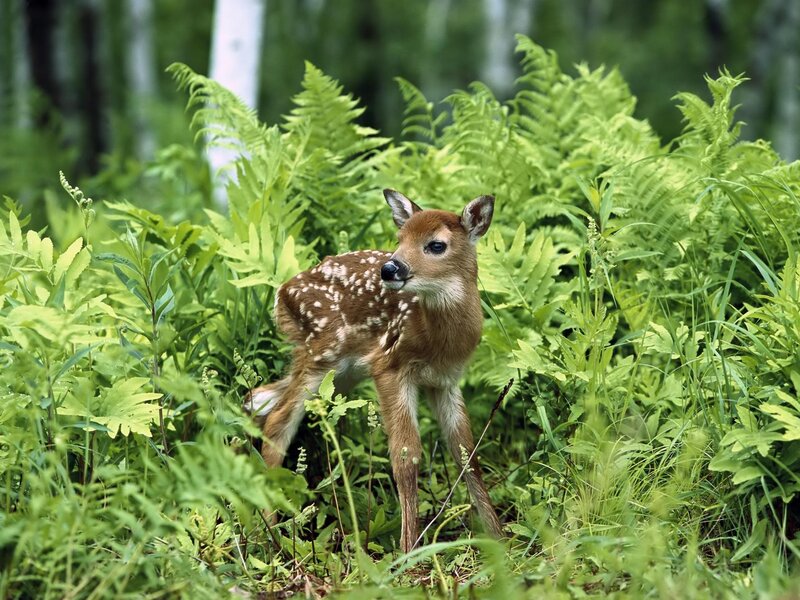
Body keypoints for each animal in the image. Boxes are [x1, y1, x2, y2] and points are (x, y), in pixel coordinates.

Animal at [244, 189, 503, 553]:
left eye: (436, 245)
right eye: (399, 238)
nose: (391, 268)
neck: (436, 341)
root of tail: (281, 294)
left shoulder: (446, 381)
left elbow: (467, 454)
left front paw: (500, 538)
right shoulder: (390, 366)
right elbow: (406, 456)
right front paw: (409, 550)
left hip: (340, 372)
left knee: (258, 398)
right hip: (322, 351)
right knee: (279, 419)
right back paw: (269, 532)